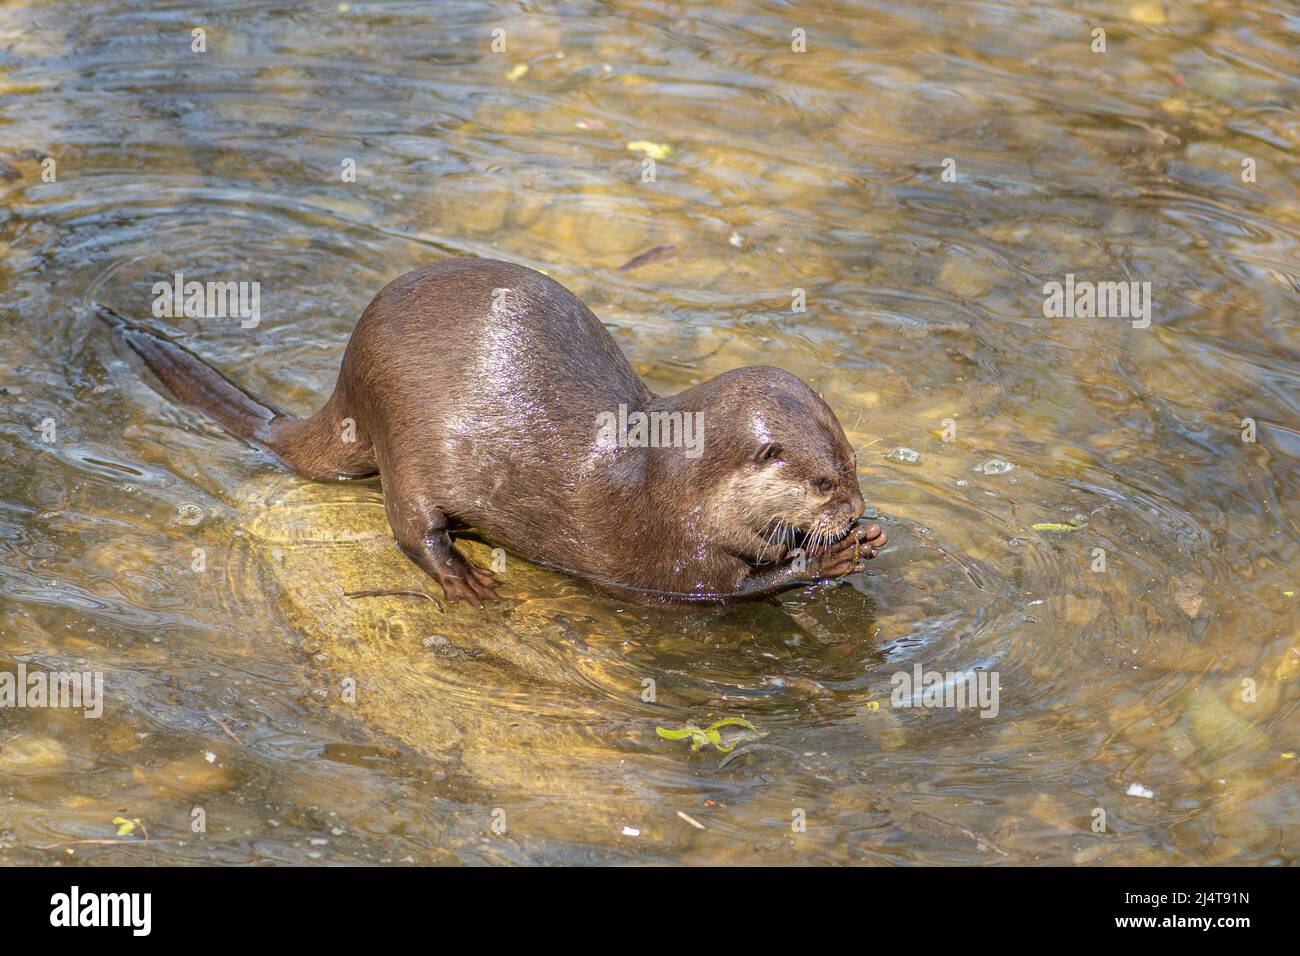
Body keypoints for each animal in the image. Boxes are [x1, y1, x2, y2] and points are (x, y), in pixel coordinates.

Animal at [95, 258, 886, 607]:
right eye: (822, 483)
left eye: (852, 463)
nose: (854, 509)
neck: (677, 479)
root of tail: (347, 376)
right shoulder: (676, 545)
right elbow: (730, 589)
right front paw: (834, 555)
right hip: (404, 437)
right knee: (410, 529)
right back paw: (465, 578)